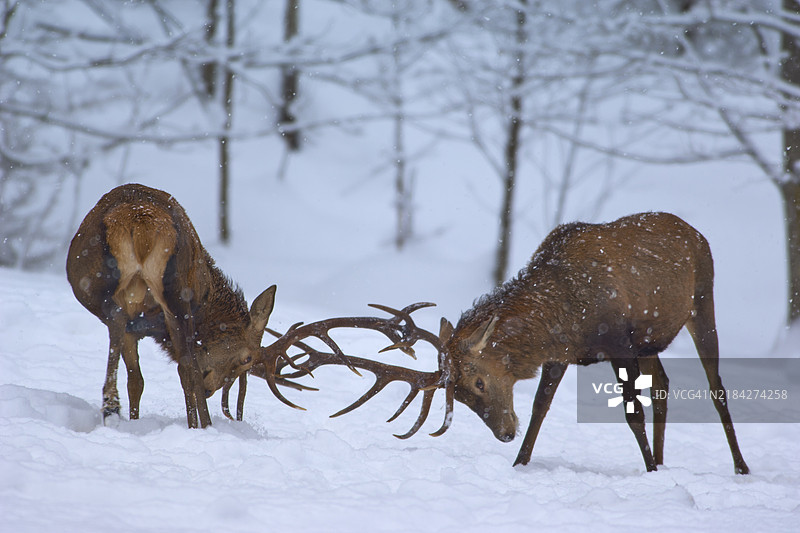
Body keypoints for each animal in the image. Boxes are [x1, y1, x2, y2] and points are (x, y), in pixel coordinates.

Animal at [67, 183, 381, 429]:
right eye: (246, 359)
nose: (210, 390)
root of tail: (139, 221)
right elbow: (165, 374)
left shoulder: (137, 329)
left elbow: (137, 381)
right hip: (176, 296)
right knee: (186, 367)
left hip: (127, 291)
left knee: (123, 328)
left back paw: (115, 409)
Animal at [276, 212, 749, 474]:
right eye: (461, 397)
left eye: (479, 383)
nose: (503, 433)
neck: (565, 315)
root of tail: (695, 231)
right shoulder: (563, 354)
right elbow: (541, 408)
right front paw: (519, 463)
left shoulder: (618, 342)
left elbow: (631, 414)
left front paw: (648, 469)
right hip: (652, 342)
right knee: (665, 383)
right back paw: (667, 460)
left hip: (701, 302)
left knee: (716, 387)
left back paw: (737, 466)